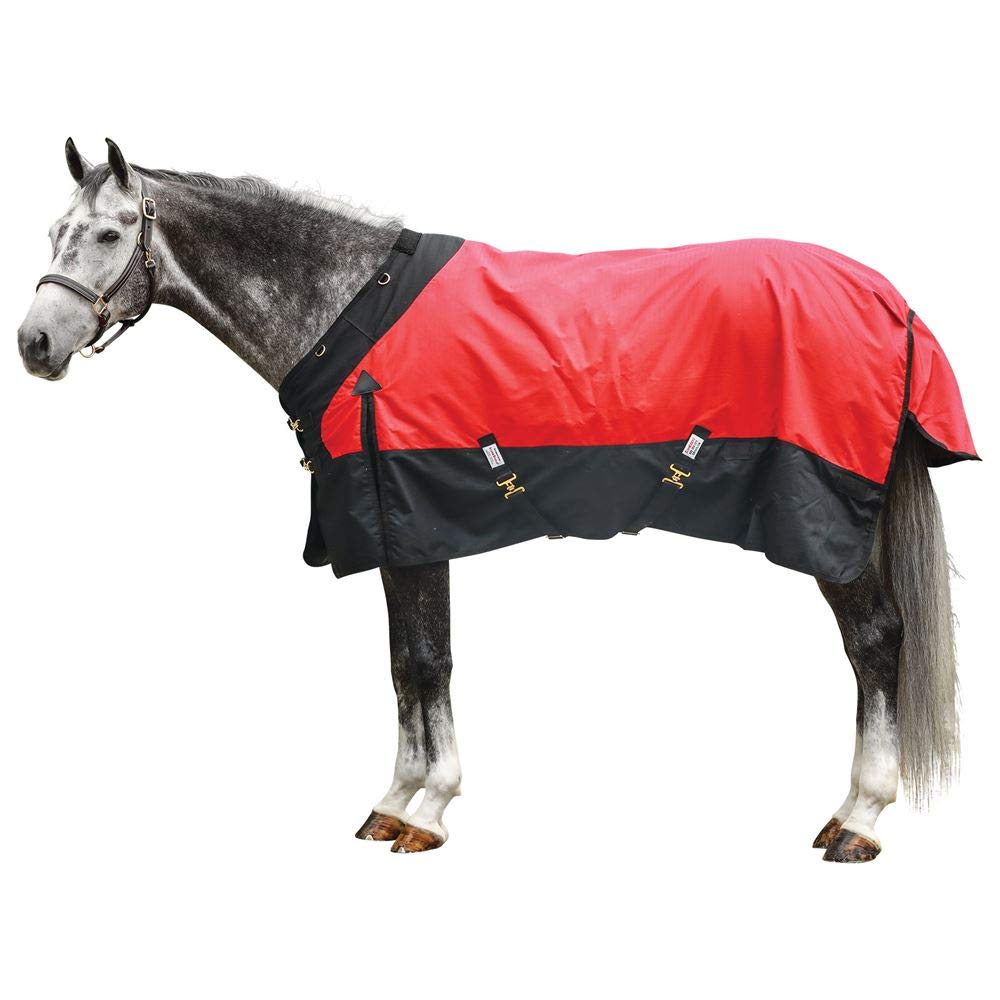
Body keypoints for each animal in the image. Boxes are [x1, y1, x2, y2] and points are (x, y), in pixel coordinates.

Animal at [17, 138, 976, 862]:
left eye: (109, 233)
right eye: (56, 230)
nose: (34, 343)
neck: (349, 308)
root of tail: (888, 299)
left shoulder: (413, 523)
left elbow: (427, 662)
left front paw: (428, 809)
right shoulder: (394, 533)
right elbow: (404, 665)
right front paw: (395, 800)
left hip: (826, 521)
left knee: (875, 642)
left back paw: (858, 819)